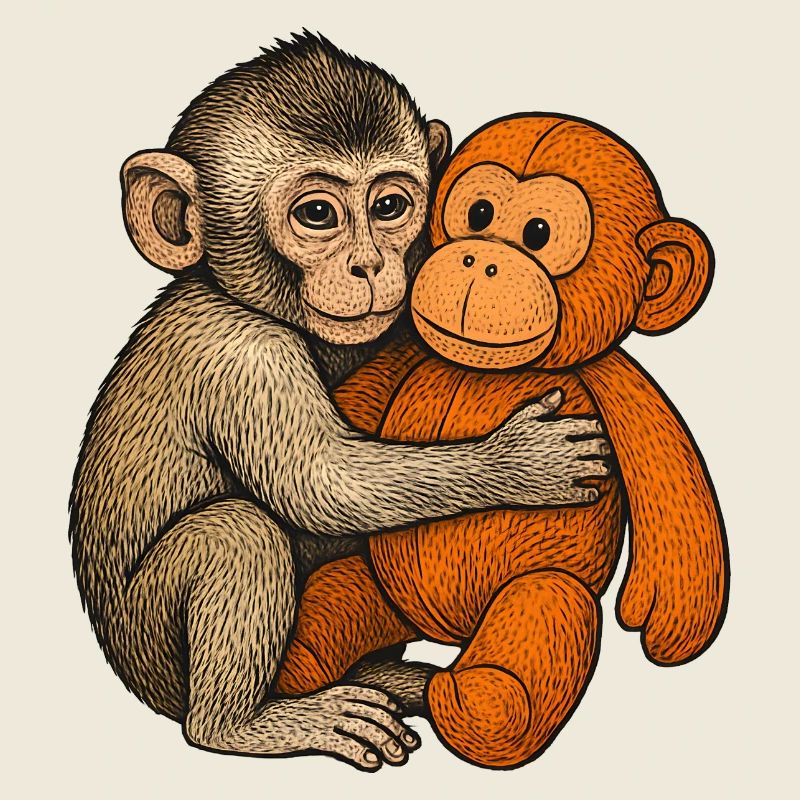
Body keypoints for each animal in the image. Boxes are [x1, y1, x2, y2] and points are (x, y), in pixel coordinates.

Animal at [69, 37, 610, 771]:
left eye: (389, 206)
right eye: (318, 215)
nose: (369, 265)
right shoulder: (246, 356)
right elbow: (322, 485)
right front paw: (517, 462)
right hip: (153, 651)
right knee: (236, 533)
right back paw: (243, 723)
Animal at [274, 113, 729, 768]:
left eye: (539, 232)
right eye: (479, 212)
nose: (475, 258)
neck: (484, 371)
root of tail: (445, 636)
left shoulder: (617, 384)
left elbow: (672, 490)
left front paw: (667, 621)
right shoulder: (405, 355)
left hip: (539, 597)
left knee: (529, 646)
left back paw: (455, 691)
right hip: (378, 590)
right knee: (324, 612)